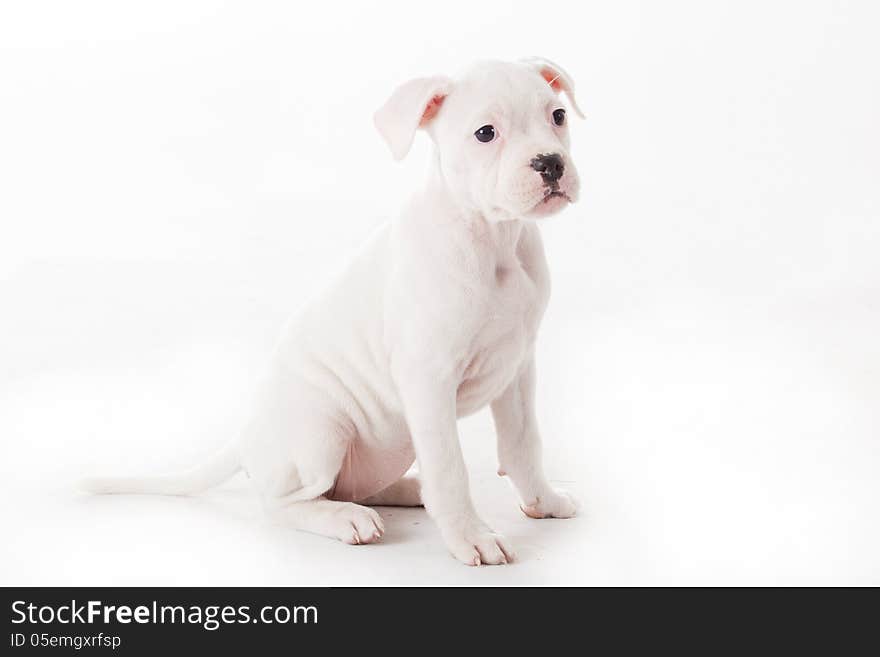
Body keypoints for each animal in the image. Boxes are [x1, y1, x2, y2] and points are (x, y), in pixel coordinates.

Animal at [84, 57, 584, 564]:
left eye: (558, 116)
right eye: (486, 133)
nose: (550, 163)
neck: (495, 238)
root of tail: (247, 435)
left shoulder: (517, 369)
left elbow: (523, 444)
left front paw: (543, 500)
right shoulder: (428, 379)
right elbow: (449, 467)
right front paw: (471, 536)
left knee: (351, 485)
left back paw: (407, 490)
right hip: (321, 431)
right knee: (285, 502)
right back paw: (347, 518)